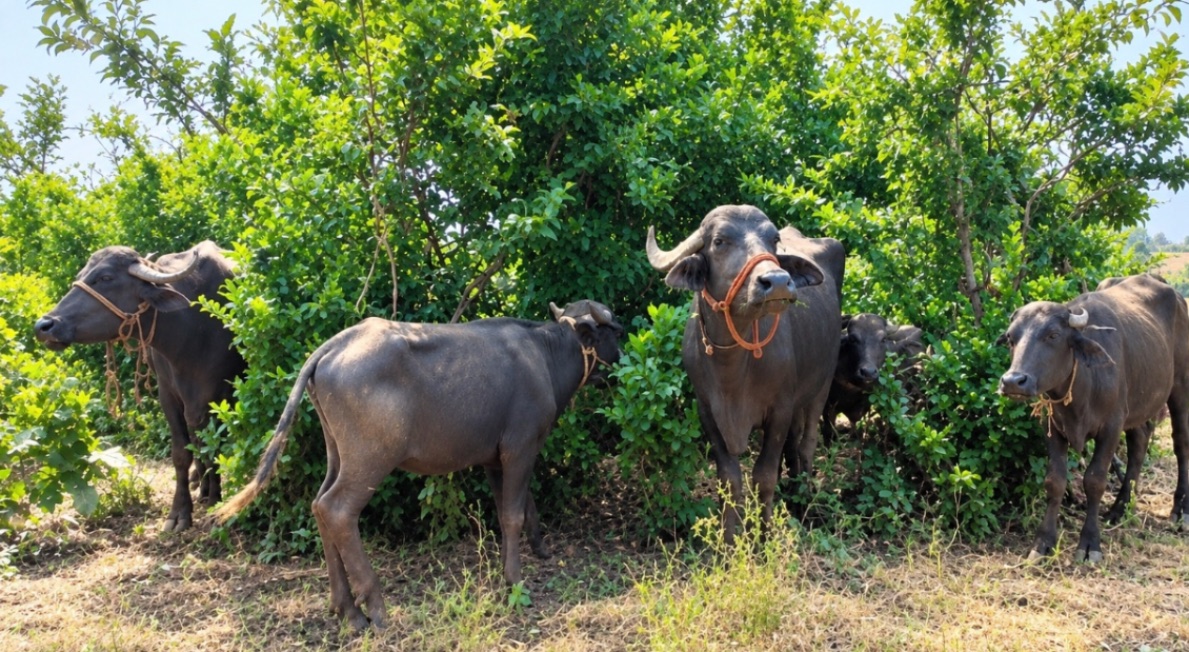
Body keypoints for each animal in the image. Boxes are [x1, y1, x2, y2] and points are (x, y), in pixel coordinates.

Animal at [34, 241, 245, 532]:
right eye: (81, 274)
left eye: (105, 277)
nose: (44, 325)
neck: (191, 332)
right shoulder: (168, 394)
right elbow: (182, 452)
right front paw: (180, 513)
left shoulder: (222, 394)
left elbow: (214, 447)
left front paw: (216, 498)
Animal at [214, 300, 624, 631]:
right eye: (613, 331)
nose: (621, 359)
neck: (546, 355)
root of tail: (334, 346)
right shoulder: (520, 448)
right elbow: (512, 515)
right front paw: (514, 580)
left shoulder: (495, 459)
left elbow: (520, 506)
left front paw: (538, 548)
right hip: (370, 459)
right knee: (337, 510)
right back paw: (374, 608)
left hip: (337, 454)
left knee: (317, 505)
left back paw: (345, 608)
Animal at [646, 205, 844, 539]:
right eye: (719, 241)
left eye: (774, 239)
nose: (778, 281)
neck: (733, 370)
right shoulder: (707, 412)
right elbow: (729, 478)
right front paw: (729, 539)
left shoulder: (780, 409)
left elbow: (763, 476)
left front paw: (762, 537)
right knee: (793, 445)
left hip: (823, 382)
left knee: (807, 443)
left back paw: (804, 498)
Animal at [997, 273, 1189, 563]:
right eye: (1011, 337)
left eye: (1053, 335)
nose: (1013, 381)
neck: (1080, 389)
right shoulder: (1052, 428)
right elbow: (1055, 481)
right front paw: (1043, 542)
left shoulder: (1111, 427)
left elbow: (1095, 481)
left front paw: (1089, 543)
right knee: (1139, 443)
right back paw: (1119, 509)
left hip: (1180, 389)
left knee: (1181, 444)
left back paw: (1180, 510)